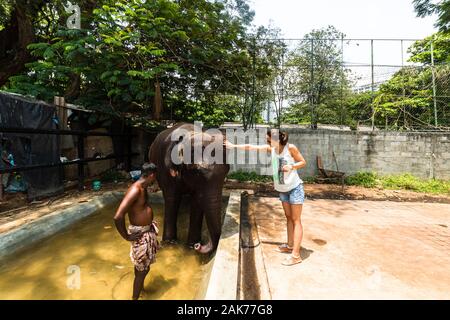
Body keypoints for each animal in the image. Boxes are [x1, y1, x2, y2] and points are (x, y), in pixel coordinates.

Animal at [149, 122, 230, 255]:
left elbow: (197, 201)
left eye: (227, 171)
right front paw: (169, 244)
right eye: (197, 172)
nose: (199, 246)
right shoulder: (165, 168)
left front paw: (191, 245)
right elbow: (172, 199)